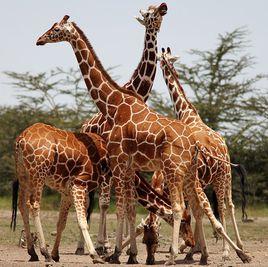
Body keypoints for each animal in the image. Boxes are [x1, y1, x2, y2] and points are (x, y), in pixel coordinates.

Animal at [35, 15, 251, 266]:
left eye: (55, 29)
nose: (39, 40)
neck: (114, 105)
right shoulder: (129, 168)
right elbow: (130, 209)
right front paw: (126, 253)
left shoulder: (120, 164)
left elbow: (121, 208)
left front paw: (117, 253)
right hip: (189, 174)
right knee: (200, 207)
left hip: (192, 172)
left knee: (198, 207)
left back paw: (188, 254)